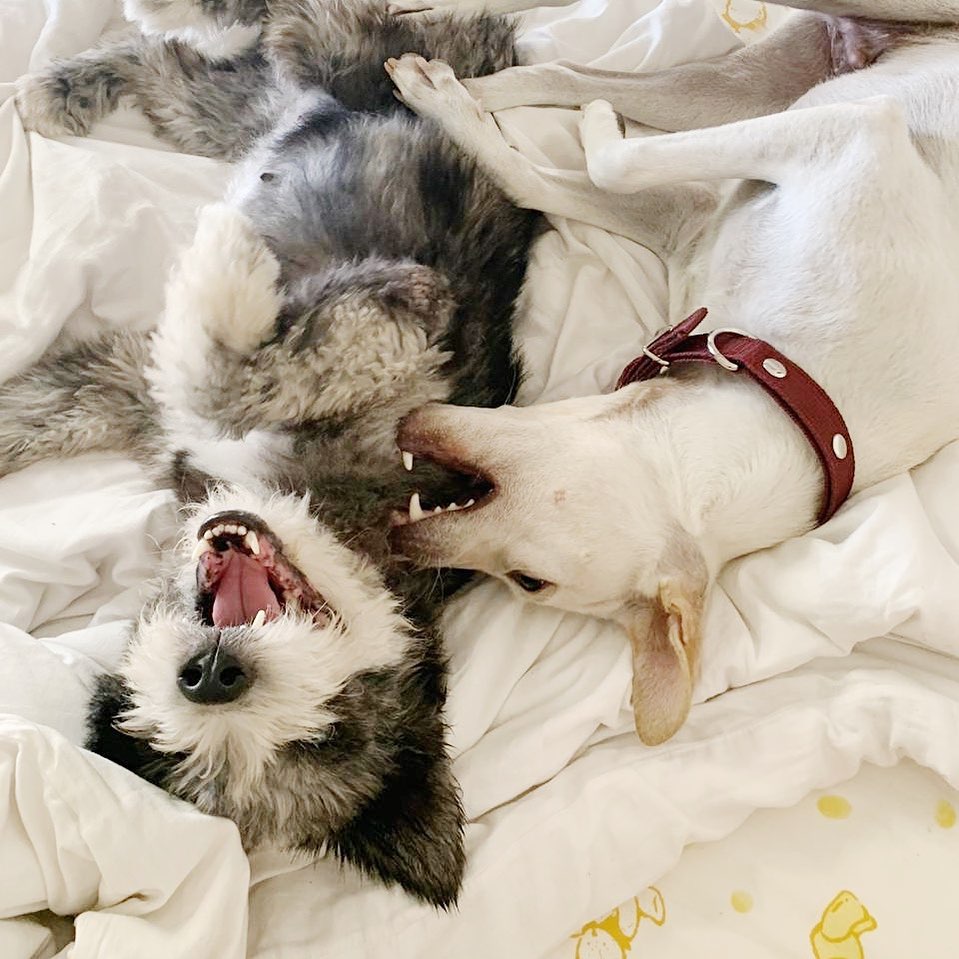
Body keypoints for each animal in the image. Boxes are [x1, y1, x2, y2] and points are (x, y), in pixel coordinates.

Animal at [3, 0, 536, 908]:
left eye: (324, 735)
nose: (210, 675)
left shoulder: (401, 318)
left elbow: (228, 377)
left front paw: (220, 282)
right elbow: (52, 405)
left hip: (240, 102)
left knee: (208, 58)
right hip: (303, 80)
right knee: (275, 30)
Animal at [384, 0, 959, 748]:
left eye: (527, 582)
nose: (394, 539)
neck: (789, 384)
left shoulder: (707, 208)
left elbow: (571, 172)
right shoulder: (845, 138)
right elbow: (602, 163)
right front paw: (583, 124)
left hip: (727, 97)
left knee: (566, 73)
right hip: (758, 88)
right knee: (565, 70)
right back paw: (444, 62)